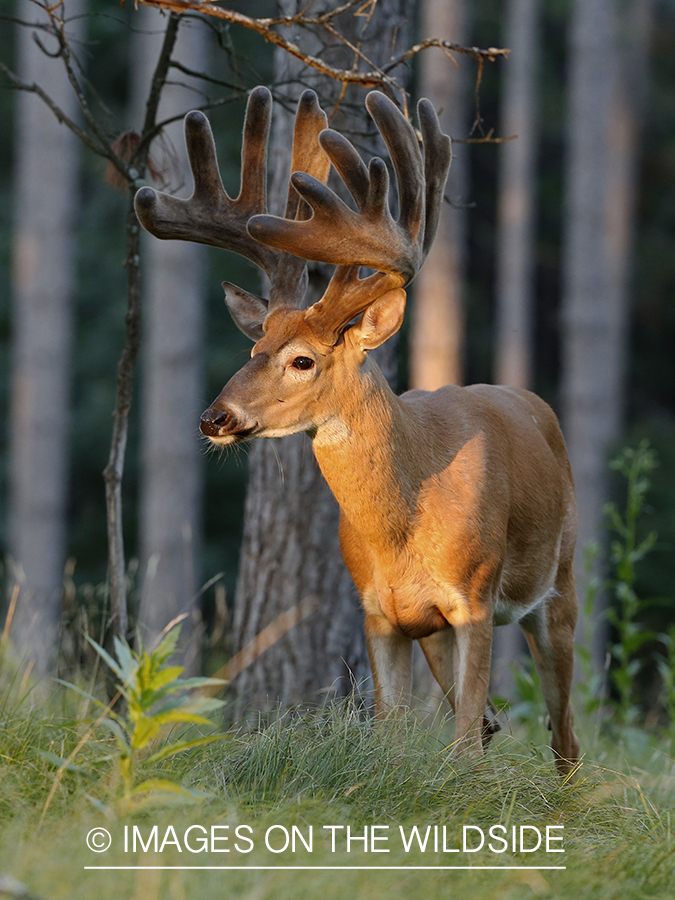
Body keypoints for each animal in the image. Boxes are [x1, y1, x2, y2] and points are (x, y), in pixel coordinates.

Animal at [136, 86, 580, 772]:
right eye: (253, 347)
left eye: (302, 360)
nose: (215, 417)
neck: (405, 520)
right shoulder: (380, 613)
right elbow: (392, 732)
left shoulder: (475, 599)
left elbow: (463, 745)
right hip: (436, 631)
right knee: (488, 723)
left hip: (560, 584)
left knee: (563, 736)